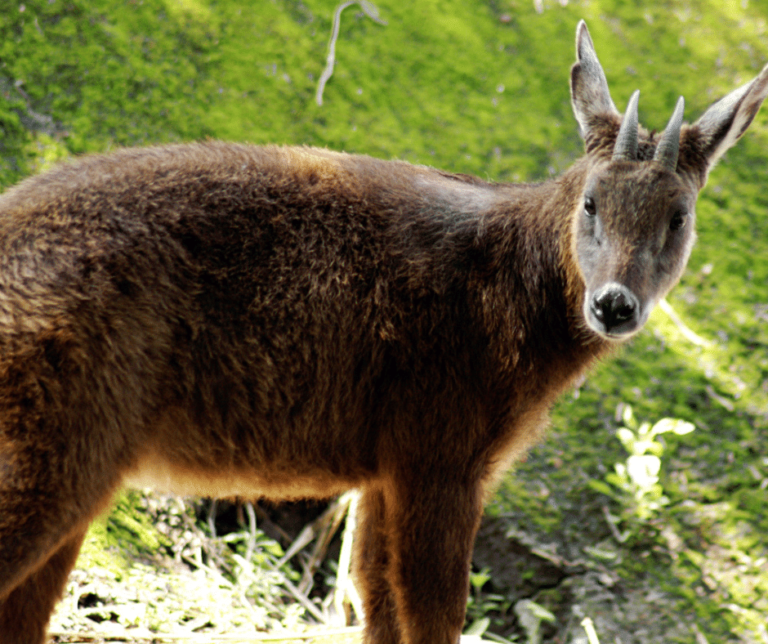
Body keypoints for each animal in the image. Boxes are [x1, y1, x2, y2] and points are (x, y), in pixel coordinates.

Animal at [1, 20, 768, 644]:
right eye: (591, 202)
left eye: (680, 217)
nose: (614, 305)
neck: (515, 303)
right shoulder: (441, 450)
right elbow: (432, 617)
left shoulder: (386, 464)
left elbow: (372, 604)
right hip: (57, 444)